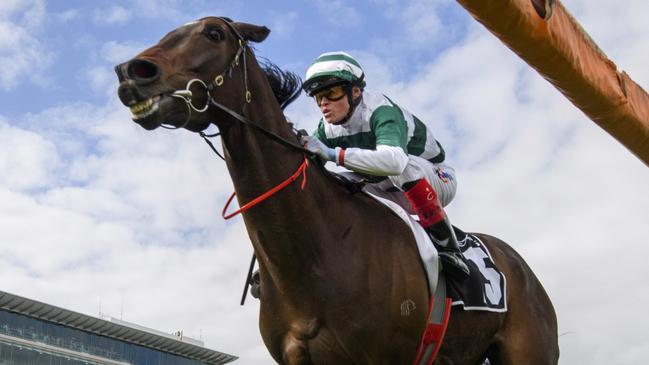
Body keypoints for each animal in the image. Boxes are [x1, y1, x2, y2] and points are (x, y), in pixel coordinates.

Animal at [115, 17, 556, 364]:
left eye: (212, 33)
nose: (132, 72)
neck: (319, 250)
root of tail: (522, 266)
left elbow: (393, 157)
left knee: (410, 170)